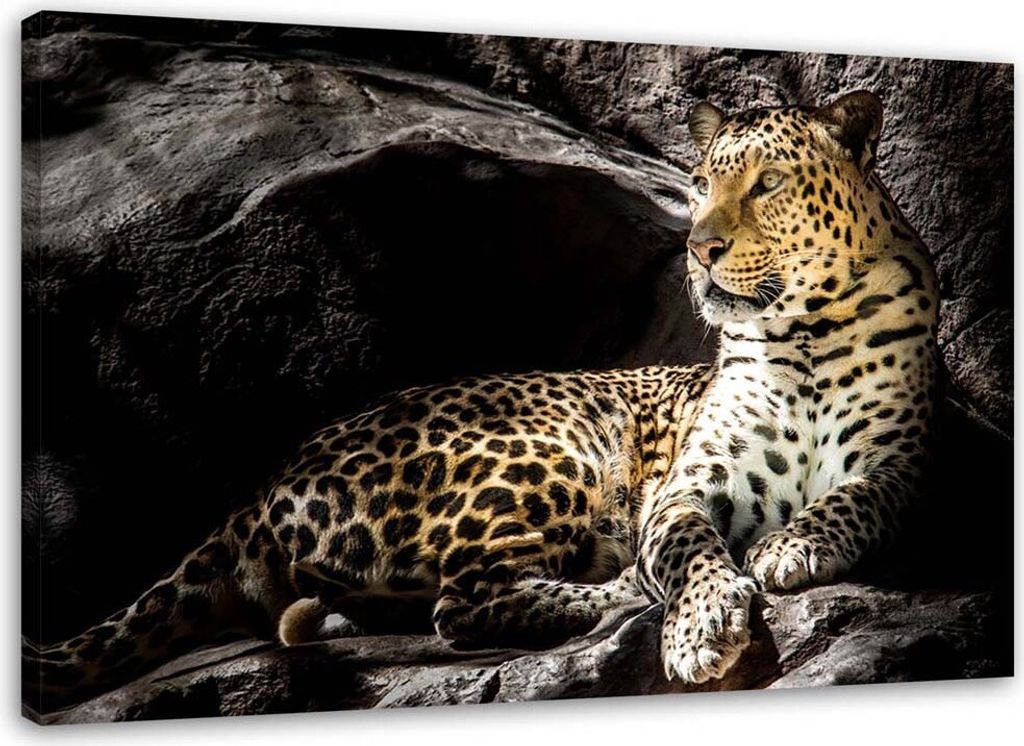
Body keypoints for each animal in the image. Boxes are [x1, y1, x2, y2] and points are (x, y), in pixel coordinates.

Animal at [24, 89, 938, 713]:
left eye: (770, 182)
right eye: (700, 183)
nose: (698, 247)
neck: (805, 332)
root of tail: (261, 486)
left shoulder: (906, 466)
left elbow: (859, 496)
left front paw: (796, 544)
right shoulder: (686, 487)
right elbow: (686, 550)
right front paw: (702, 625)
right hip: (551, 449)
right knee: (464, 605)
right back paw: (621, 592)